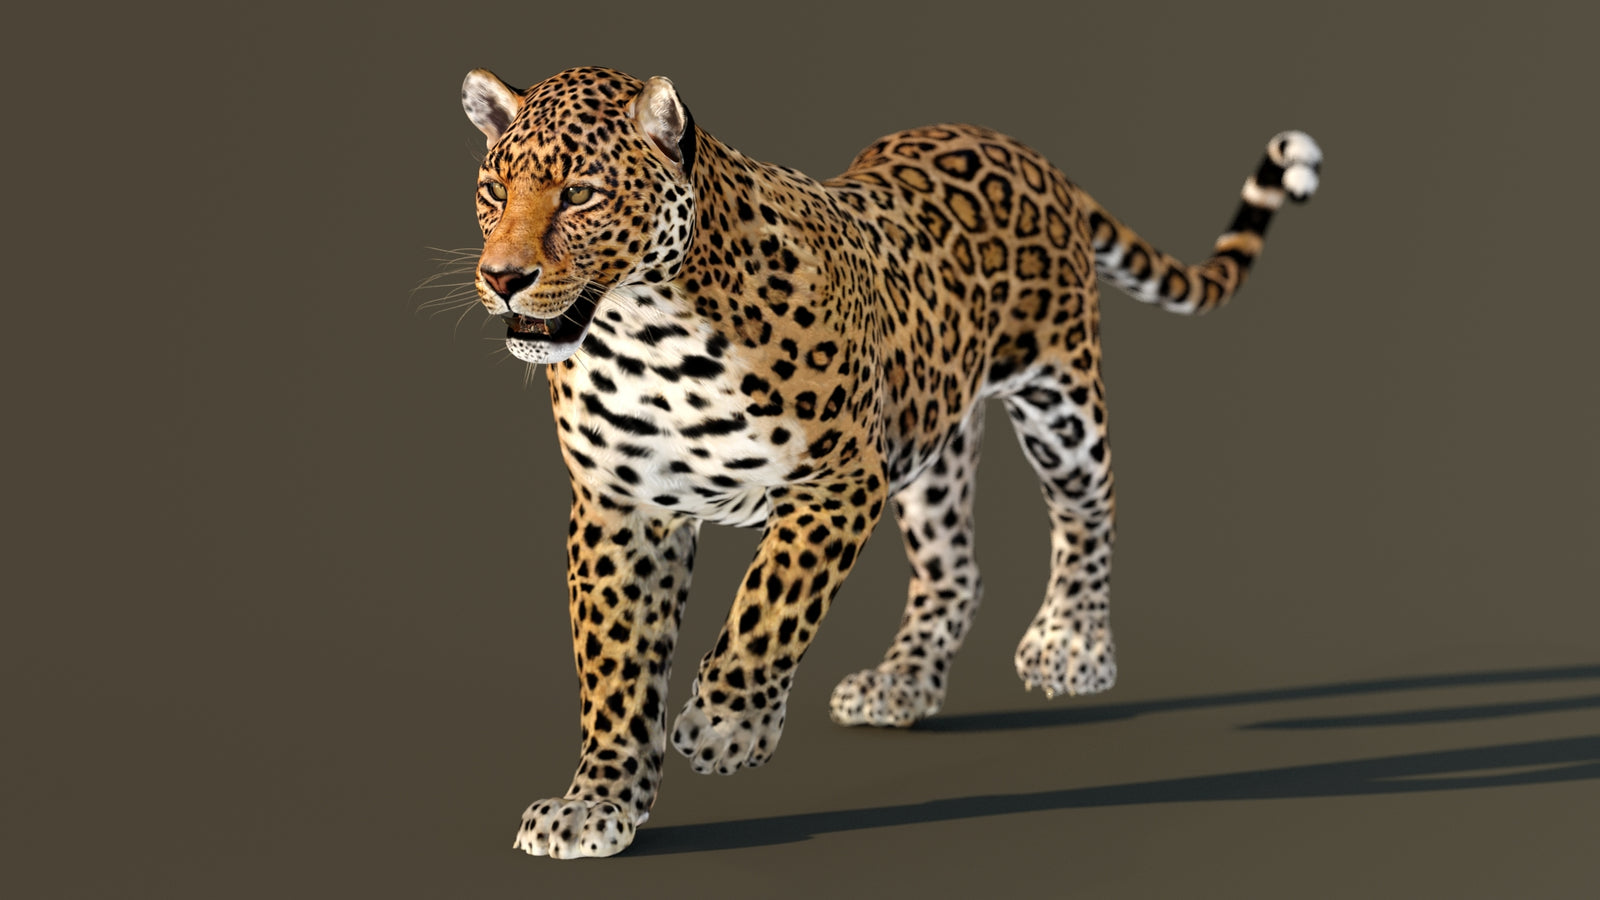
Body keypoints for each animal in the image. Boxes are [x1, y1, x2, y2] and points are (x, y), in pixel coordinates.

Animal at [451, 64, 1319, 858]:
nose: (503, 277)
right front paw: (597, 804)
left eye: (581, 194)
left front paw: (727, 726)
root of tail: (1019, 146)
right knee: (956, 569)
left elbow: (769, 607)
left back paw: (1073, 646)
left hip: (1060, 398)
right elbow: (617, 666)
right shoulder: (621, 508)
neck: (645, 335)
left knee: (1088, 510)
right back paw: (901, 683)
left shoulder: (836, 480)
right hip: (933, 441)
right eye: (494, 189)